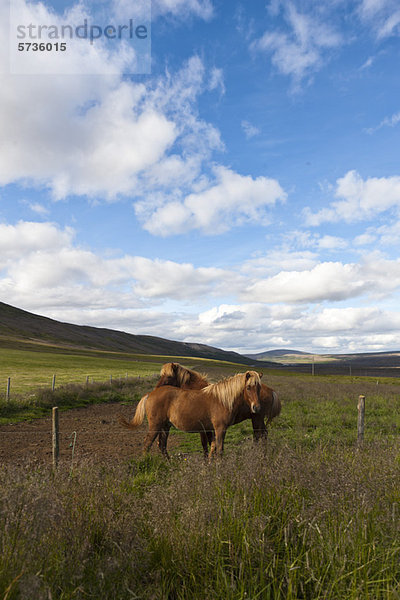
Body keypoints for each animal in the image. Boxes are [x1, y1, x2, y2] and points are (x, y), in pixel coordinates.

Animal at [119, 370, 262, 460]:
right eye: (248, 387)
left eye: (259, 387)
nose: (256, 407)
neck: (222, 399)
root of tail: (151, 393)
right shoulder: (220, 429)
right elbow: (219, 450)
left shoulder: (212, 430)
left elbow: (213, 448)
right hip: (156, 426)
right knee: (147, 444)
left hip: (165, 426)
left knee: (162, 445)